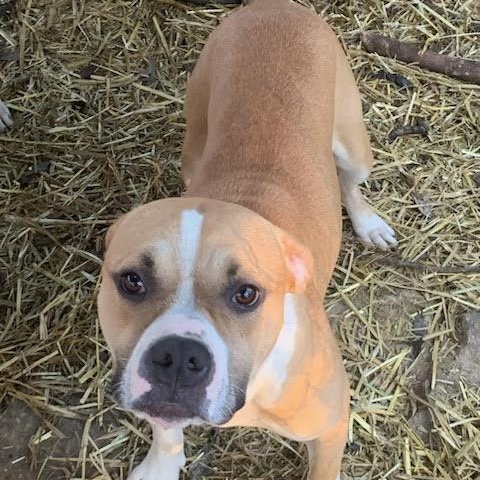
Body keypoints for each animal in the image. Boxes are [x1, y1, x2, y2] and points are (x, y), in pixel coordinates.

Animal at [97, 1, 396, 479]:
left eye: (246, 294)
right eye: (132, 282)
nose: (178, 356)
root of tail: (274, 8)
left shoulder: (331, 427)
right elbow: (165, 431)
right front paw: (161, 464)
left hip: (354, 147)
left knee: (350, 185)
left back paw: (369, 224)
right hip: (194, 141)